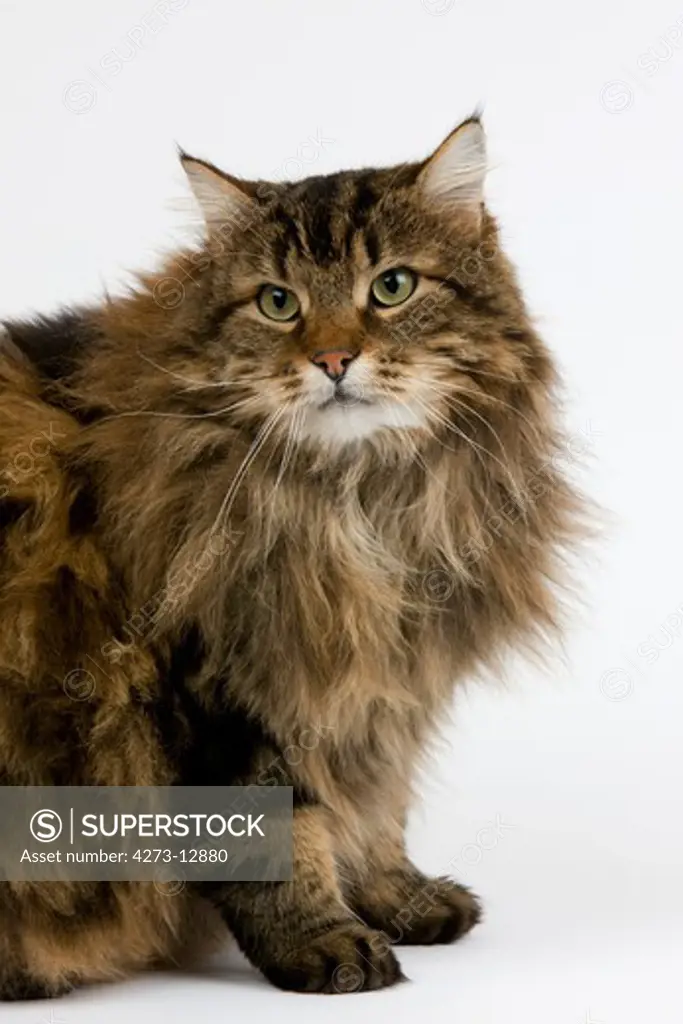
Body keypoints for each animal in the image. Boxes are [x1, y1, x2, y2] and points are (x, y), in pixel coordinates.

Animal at [0, 116, 581, 995]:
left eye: (391, 287)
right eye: (279, 303)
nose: (333, 360)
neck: (355, 505)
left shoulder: (375, 684)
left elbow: (375, 801)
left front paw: (395, 895)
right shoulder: (216, 678)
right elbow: (280, 829)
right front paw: (323, 942)